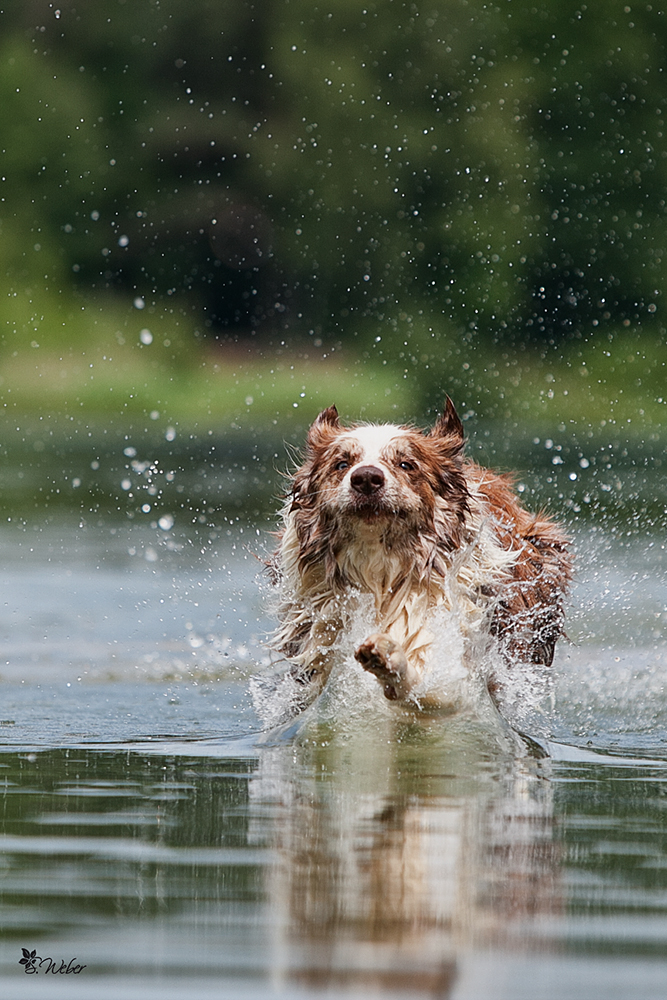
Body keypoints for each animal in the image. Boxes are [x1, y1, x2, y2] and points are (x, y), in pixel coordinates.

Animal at [268, 398, 572, 712]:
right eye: (342, 463)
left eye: (406, 464)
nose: (366, 478)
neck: (379, 564)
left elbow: (425, 676)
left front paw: (390, 659)